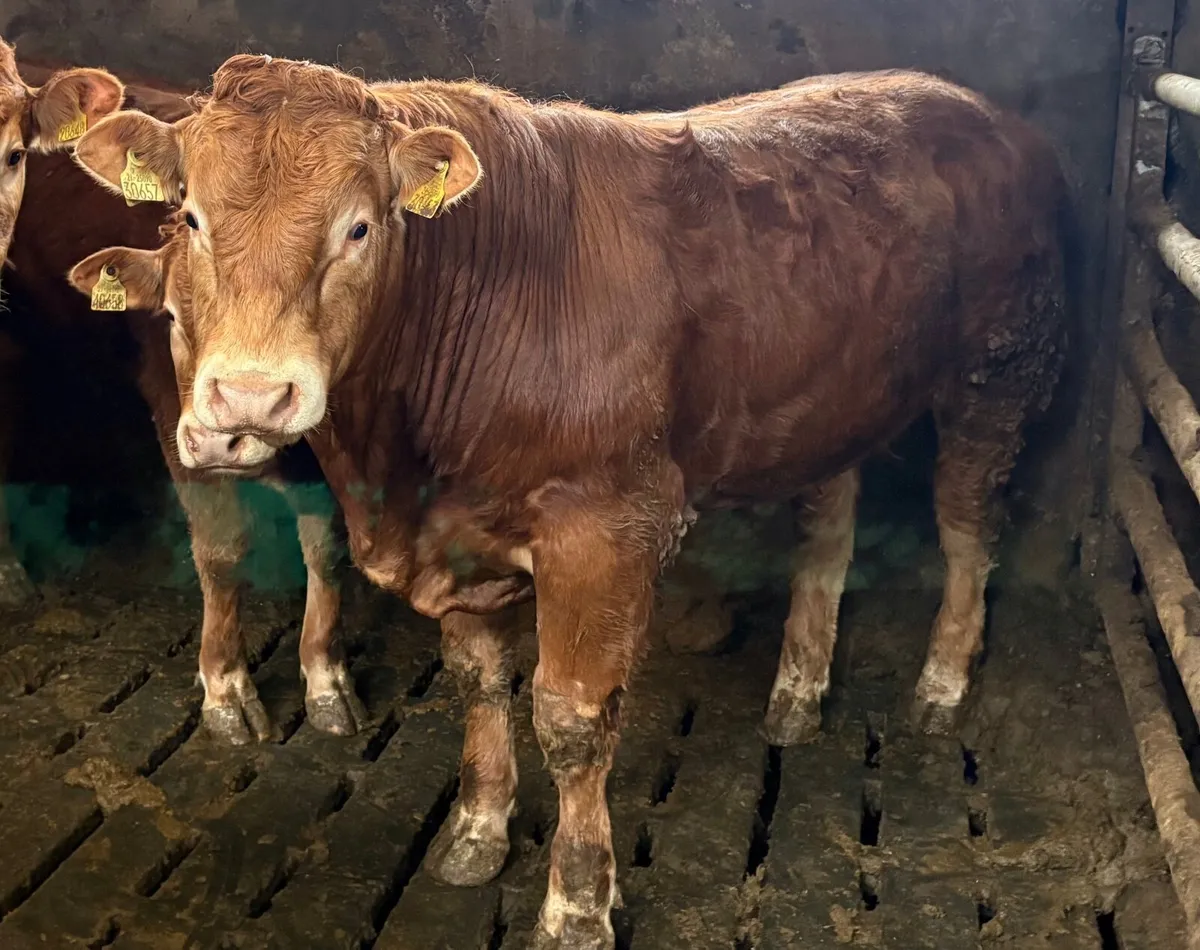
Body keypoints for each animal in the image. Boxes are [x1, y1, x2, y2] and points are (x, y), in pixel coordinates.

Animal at [9, 70, 367, 745]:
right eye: (170, 317)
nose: (222, 433)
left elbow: (327, 549)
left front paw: (326, 676)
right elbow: (221, 551)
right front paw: (225, 687)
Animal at [70, 56, 1068, 950]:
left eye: (360, 227)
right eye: (190, 216)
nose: (250, 397)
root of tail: (984, 111)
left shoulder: (609, 527)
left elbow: (573, 719)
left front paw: (578, 905)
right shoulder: (459, 536)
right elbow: (480, 679)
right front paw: (478, 830)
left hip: (999, 370)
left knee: (968, 527)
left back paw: (941, 685)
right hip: (831, 401)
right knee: (829, 532)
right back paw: (797, 691)